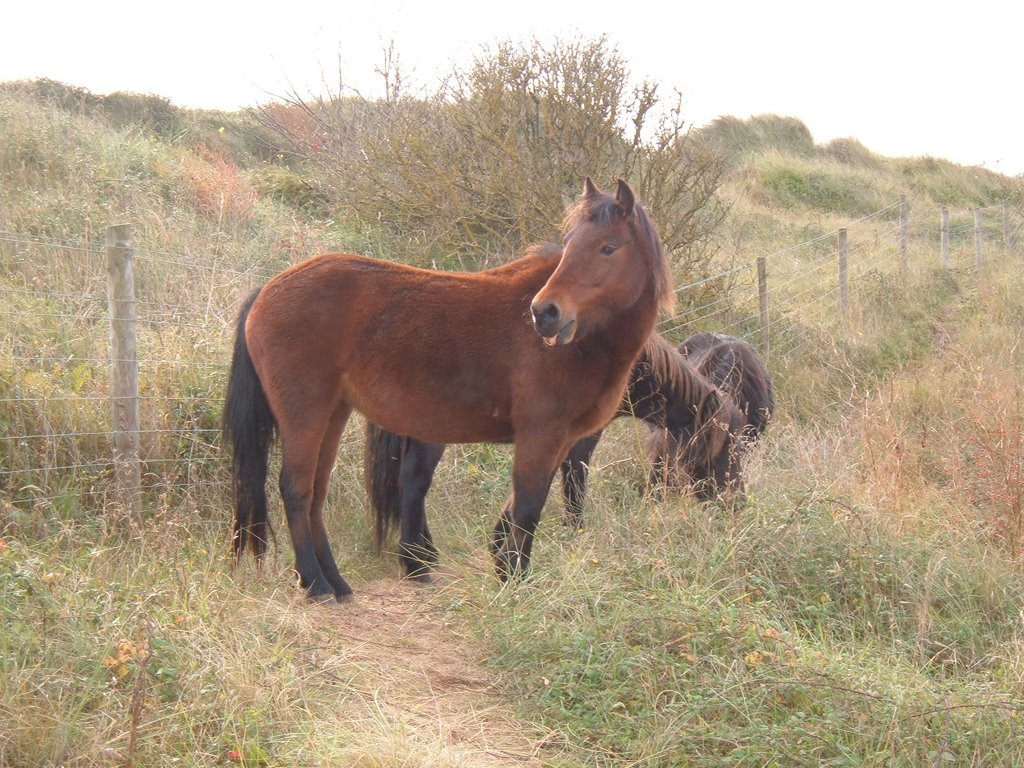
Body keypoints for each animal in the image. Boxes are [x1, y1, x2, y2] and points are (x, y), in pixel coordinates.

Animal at [223, 179, 671, 602]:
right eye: (570, 247)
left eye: (608, 248)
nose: (544, 312)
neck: (585, 343)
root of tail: (267, 290)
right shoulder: (541, 435)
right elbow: (528, 506)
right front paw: (514, 581)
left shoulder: (559, 442)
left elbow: (517, 505)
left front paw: (502, 564)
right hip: (306, 414)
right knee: (296, 489)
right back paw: (315, 583)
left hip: (333, 414)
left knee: (316, 492)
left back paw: (335, 581)